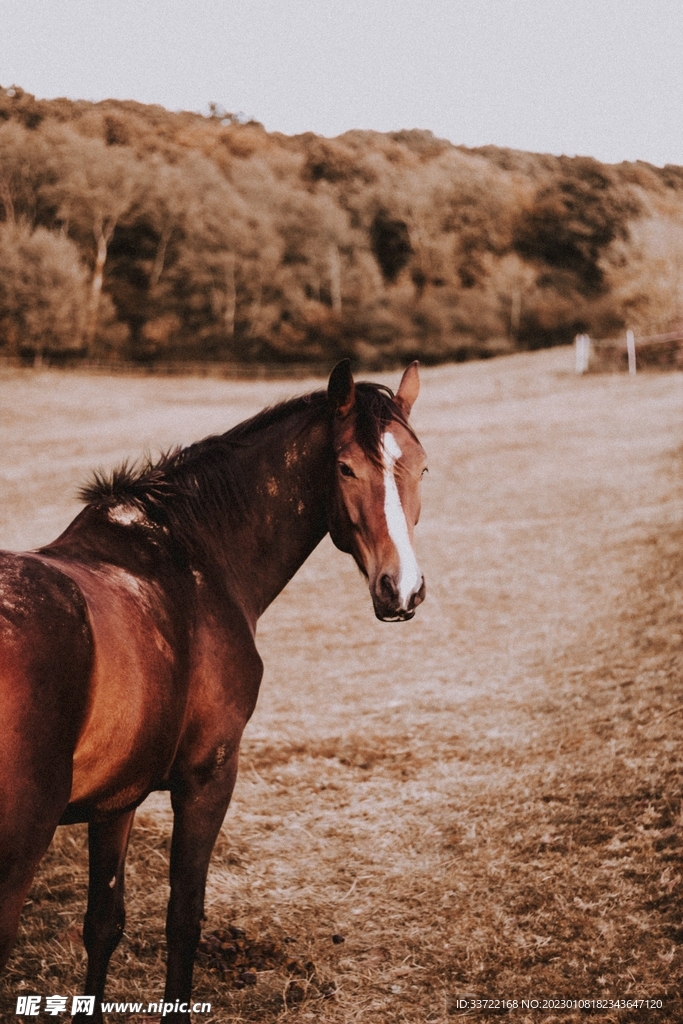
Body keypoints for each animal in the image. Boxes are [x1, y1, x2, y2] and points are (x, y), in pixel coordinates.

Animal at [0, 359, 427, 1022]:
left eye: (423, 466)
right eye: (345, 468)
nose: (401, 589)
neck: (189, 558)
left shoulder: (117, 798)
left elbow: (103, 925)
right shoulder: (208, 778)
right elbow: (183, 920)